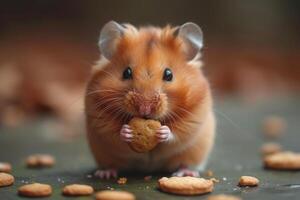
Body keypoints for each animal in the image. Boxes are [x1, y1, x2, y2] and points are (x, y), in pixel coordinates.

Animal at [84, 21, 216, 179]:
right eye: (126, 72)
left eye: (169, 74)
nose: (144, 109)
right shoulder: (99, 119)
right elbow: (114, 134)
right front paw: (127, 131)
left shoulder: (193, 118)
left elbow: (177, 134)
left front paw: (163, 132)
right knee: (112, 164)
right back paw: (105, 173)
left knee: (184, 163)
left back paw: (186, 173)